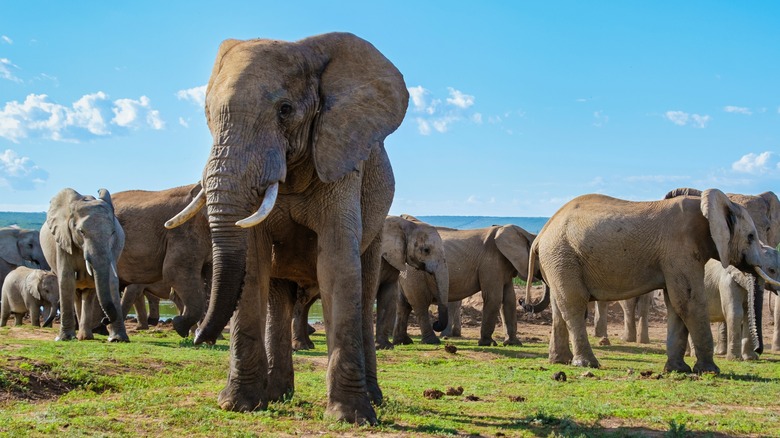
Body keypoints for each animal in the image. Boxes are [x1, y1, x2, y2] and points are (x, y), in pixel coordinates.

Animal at [39, 187, 127, 342]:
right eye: (81, 232)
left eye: (113, 232)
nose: (104, 320)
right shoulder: (63, 240)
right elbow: (66, 279)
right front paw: (65, 338)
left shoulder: (113, 248)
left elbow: (111, 280)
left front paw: (118, 339)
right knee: (75, 292)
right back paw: (81, 337)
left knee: (89, 293)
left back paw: (85, 337)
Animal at [165, 31, 408, 424]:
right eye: (208, 116)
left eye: (285, 110)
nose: (198, 335)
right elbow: (253, 265)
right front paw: (237, 404)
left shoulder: (340, 160)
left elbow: (338, 265)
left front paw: (350, 417)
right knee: (278, 296)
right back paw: (277, 396)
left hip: (378, 219)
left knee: (365, 283)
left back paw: (374, 399)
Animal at [396, 224, 536, 348]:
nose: (524, 302)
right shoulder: (490, 263)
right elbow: (494, 298)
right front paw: (488, 344)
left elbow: (509, 299)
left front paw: (513, 344)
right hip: (414, 275)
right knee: (420, 304)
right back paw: (432, 341)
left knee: (404, 305)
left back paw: (404, 341)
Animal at [524, 188, 780, 372]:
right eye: (751, 236)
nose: (759, 351)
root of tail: (541, 234)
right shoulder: (680, 248)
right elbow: (688, 301)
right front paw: (710, 371)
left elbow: (676, 304)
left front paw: (678, 370)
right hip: (562, 254)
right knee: (574, 305)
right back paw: (587, 364)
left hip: (557, 260)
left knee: (560, 307)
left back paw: (560, 362)